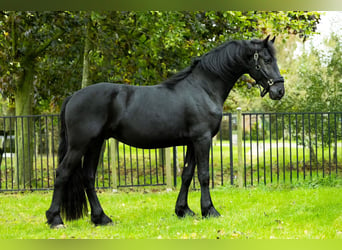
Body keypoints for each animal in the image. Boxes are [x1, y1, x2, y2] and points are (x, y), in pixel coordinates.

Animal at [46, 35, 284, 229]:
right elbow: (203, 175)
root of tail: (73, 96)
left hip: (96, 144)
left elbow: (187, 174)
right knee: (63, 173)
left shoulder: (191, 142)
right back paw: (55, 219)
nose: (279, 90)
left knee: (88, 177)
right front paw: (209, 210)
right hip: (80, 145)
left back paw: (101, 218)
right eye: (267, 60)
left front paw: (183, 210)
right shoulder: (203, 139)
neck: (203, 88)